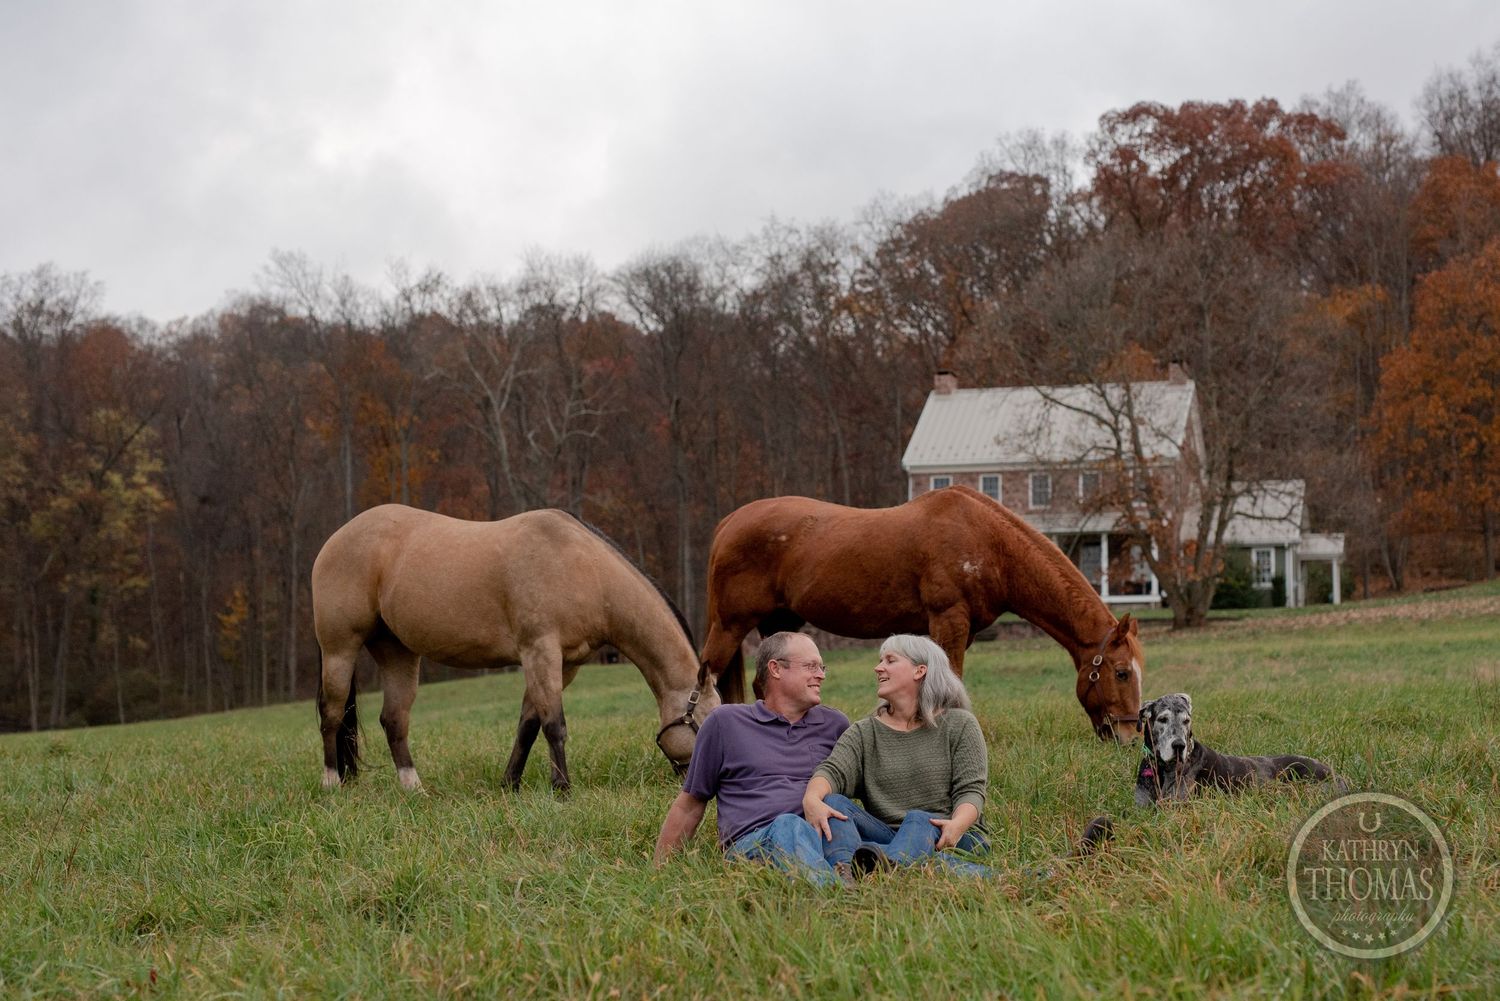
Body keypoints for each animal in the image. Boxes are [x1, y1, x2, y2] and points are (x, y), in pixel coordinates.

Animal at [312, 504, 720, 792]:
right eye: (703, 722)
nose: (698, 778)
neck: (582, 567)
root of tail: (334, 539)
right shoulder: (540, 651)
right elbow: (554, 724)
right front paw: (562, 789)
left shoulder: (563, 665)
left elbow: (529, 724)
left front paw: (510, 784)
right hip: (340, 649)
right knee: (331, 714)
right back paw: (332, 783)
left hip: (396, 651)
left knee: (394, 720)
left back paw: (414, 788)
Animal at [699, 486, 1143, 742]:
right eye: (1121, 673)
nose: (1130, 737)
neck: (988, 543)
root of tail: (728, 523)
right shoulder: (950, 620)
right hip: (730, 626)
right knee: (707, 680)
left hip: (779, 626)